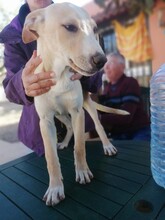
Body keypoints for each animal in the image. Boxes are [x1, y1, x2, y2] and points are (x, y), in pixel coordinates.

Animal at [22, 2, 128, 206]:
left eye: (95, 29)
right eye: (70, 27)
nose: (102, 61)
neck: (59, 75)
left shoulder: (77, 112)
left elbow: (79, 147)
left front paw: (83, 172)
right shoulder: (46, 120)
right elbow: (50, 158)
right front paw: (55, 188)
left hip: (86, 105)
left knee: (98, 125)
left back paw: (107, 146)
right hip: (60, 114)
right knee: (69, 126)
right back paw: (63, 143)